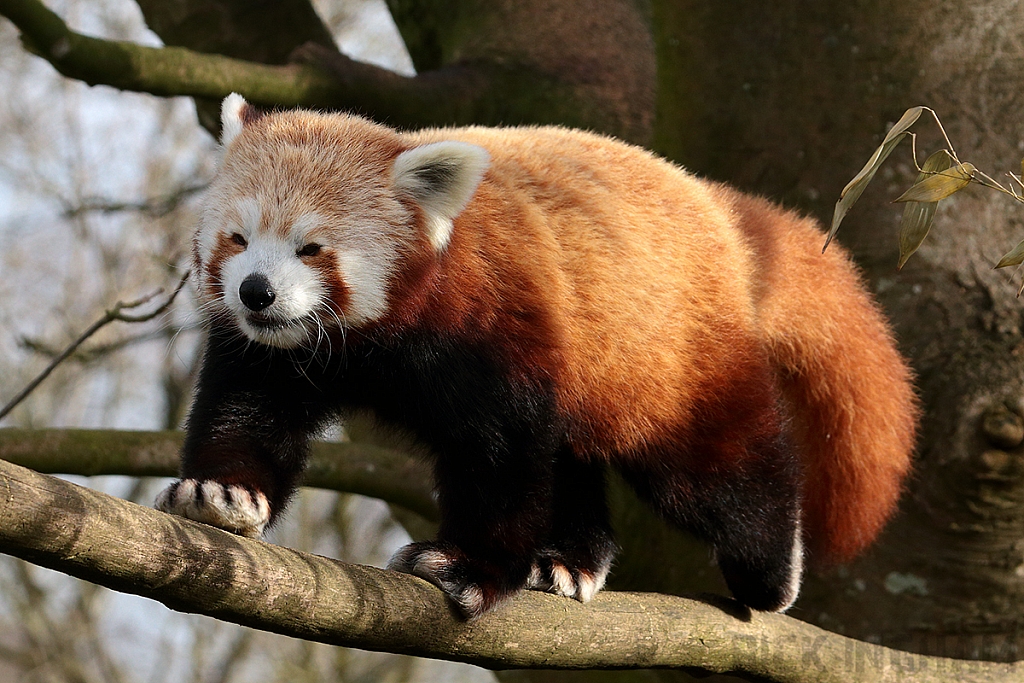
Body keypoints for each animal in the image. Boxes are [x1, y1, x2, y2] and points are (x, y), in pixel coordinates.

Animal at [155, 93, 917, 622]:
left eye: (311, 247)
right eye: (237, 237)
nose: (256, 291)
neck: (371, 340)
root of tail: (713, 204)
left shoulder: (495, 329)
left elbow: (502, 456)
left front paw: (467, 565)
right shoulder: (279, 354)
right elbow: (251, 406)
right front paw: (224, 492)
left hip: (669, 353)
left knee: (712, 466)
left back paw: (770, 572)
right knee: (574, 460)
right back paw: (572, 561)